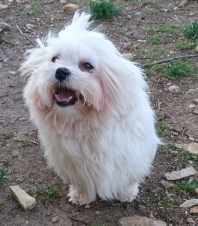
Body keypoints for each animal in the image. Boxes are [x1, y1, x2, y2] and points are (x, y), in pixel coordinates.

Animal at [20, 11, 159, 206]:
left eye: (87, 66)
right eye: (54, 59)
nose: (60, 71)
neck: (83, 123)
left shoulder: (131, 155)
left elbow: (127, 176)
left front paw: (127, 192)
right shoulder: (74, 164)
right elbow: (82, 181)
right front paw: (81, 194)